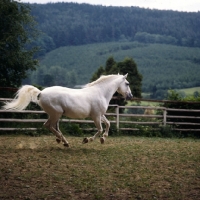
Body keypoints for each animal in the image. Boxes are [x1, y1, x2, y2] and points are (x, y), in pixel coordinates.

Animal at [2, 73, 133, 147]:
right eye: (127, 83)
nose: (130, 96)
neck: (100, 92)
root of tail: (41, 92)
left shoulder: (100, 114)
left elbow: (108, 124)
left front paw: (103, 139)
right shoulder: (95, 116)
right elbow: (100, 129)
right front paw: (87, 140)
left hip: (55, 115)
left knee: (54, 127)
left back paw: (63, 141)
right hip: (56, 114)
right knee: (48, 126)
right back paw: (62, 140)